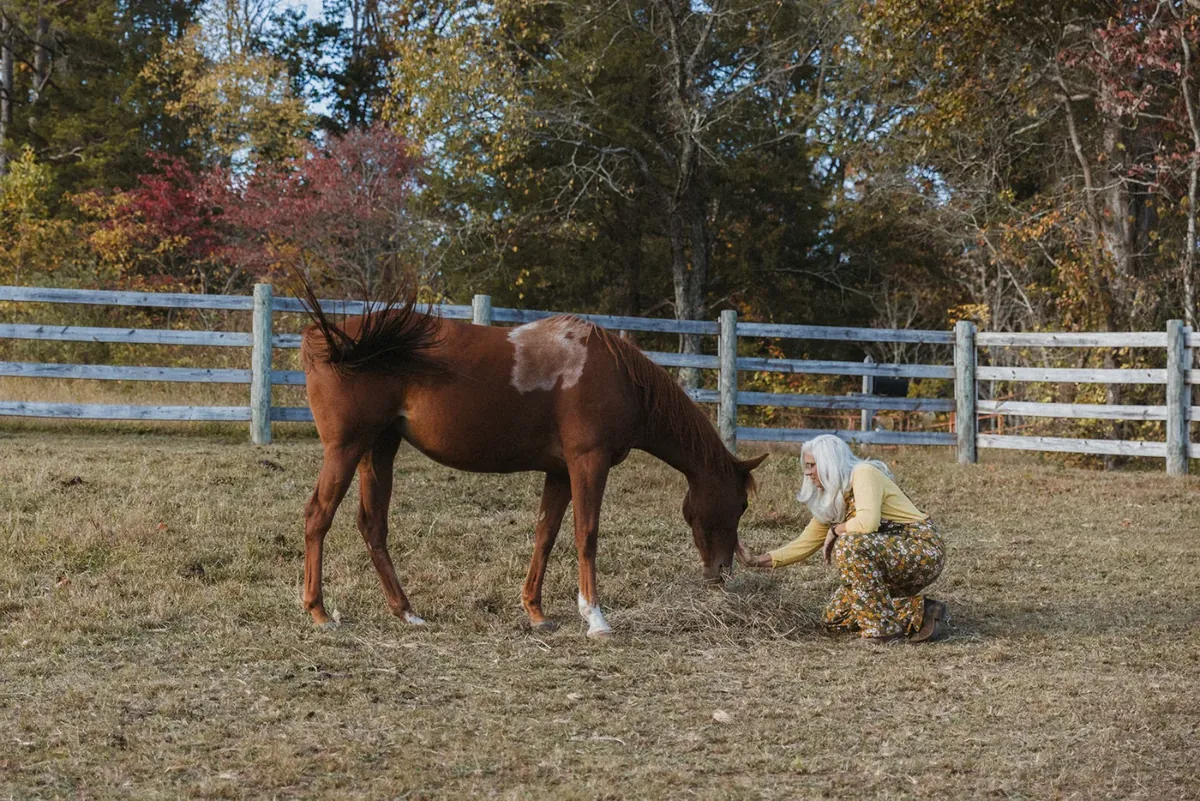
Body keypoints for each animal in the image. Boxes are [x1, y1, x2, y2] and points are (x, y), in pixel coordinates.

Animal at [296, 281, 766, 638]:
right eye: (740, 504)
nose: (721, 574)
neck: (616, 376)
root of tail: (327, 339)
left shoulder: (558, 473)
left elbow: (546, 535)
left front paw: (536, 611)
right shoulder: (587, 464)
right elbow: (586, 535)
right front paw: (595, 618)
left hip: (379, 449)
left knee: (372, 525)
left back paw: (407, 612)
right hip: (346, 448)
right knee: (318, 515)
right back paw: (319, 612)